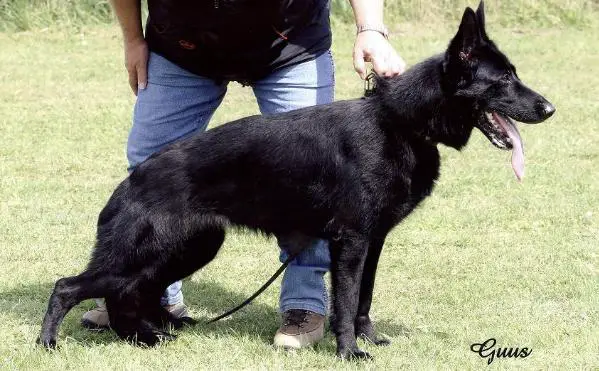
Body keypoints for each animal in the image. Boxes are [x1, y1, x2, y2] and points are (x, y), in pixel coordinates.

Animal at [38, 2, 552, 360]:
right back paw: (49, 344)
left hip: (188, 250)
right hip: (147, 254)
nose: (550, 109)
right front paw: (349, 352)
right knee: (69, 286)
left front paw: (369, 339)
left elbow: (363, 299)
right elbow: (345, 301)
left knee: (131, 293)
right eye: (503, 79)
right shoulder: (351, 242)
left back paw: (148, 337)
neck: (401, 122)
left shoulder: (373, 242)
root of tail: (131, 181)